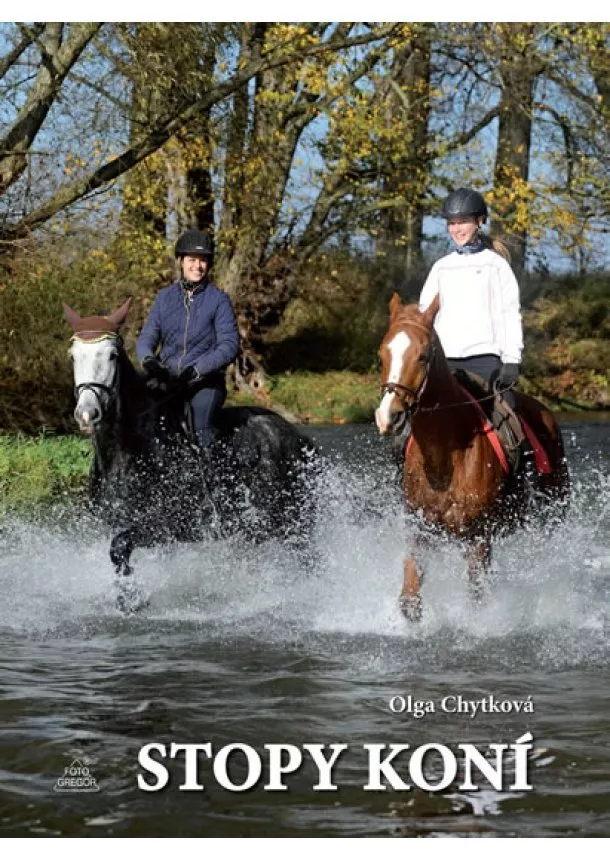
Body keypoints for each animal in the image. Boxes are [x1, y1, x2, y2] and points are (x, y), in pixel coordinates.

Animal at [63, 300, 318, 612]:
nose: (87, 414)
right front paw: (127, 597)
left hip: (292, 522)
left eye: (112, 355)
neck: (132, 448)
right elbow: (117, 554)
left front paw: (132, 599)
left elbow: (120, 546)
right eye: (74, 357)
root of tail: (293, 435)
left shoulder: (168, 526)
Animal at [372, 294, 568, 620]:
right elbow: (410, 601)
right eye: (381, 355)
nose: (390, 416)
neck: (443, 457)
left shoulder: (478, 539)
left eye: (422, 356)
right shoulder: (421, 533)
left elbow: (476, 601)